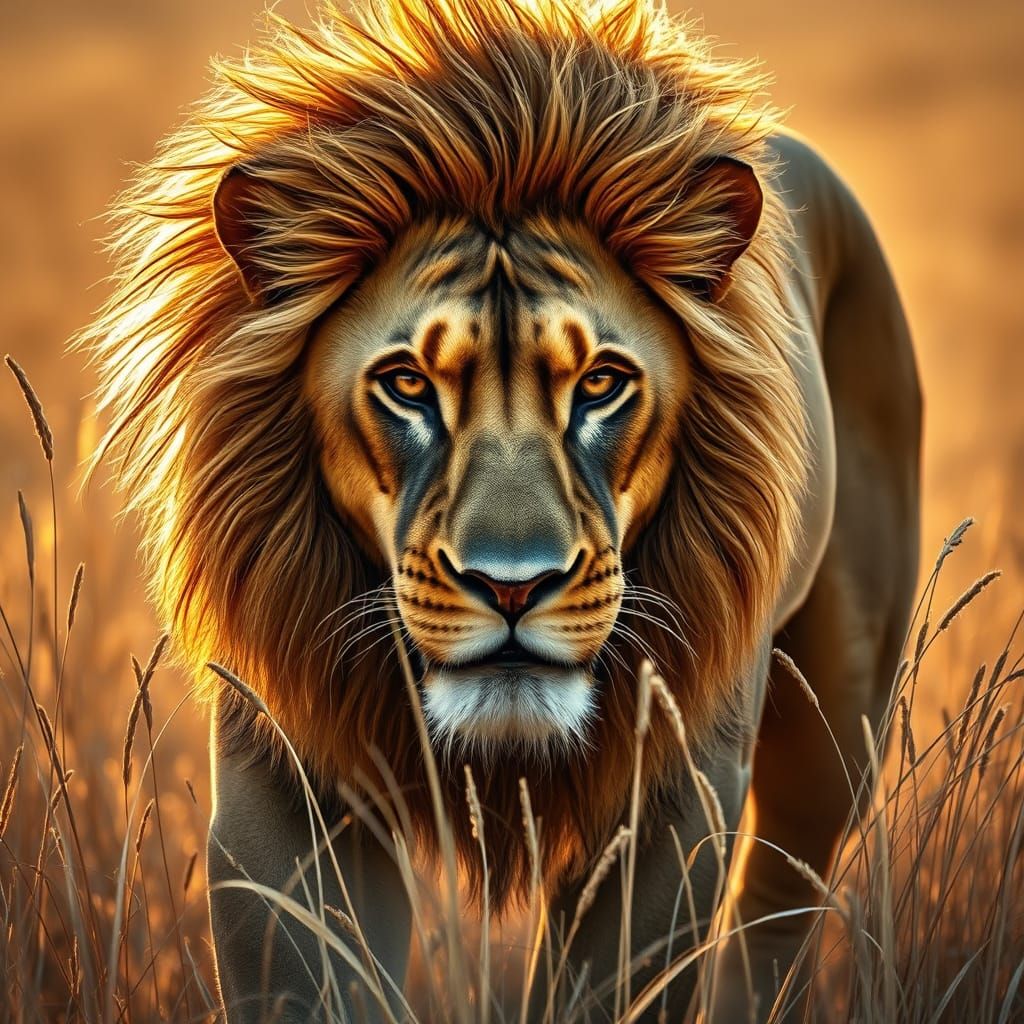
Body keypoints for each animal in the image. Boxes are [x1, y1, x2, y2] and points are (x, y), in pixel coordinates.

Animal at [82, 0, 921, 1019]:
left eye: (600, 383)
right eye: (408, 384)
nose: (513, 586)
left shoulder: (673, 785)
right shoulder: (285, 773)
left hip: (835, 730)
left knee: (776, 914)